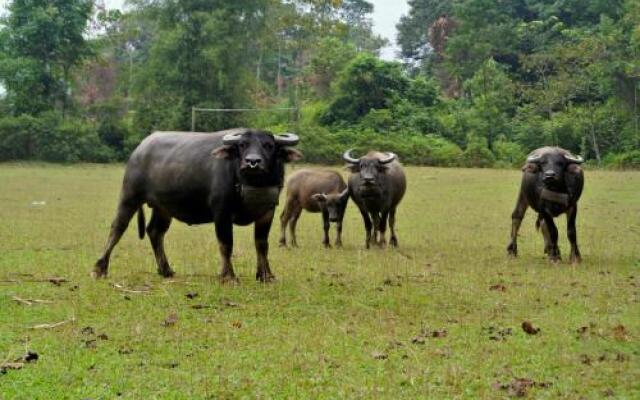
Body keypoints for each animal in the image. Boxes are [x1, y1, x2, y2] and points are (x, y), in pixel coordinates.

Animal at [93, 128, 302, 282]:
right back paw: (100, 268)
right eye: (242, 145)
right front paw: (228, 276)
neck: (250, 184)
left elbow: (262, 244)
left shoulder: (267, 212)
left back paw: (166, 269)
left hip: (163, 208)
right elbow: (226, 243)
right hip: (130, 196)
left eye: (269, 145)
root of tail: (139, 149)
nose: (253, 162)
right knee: (117, 227)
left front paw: (266, 275)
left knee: (155, 231)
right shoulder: (221, 212)